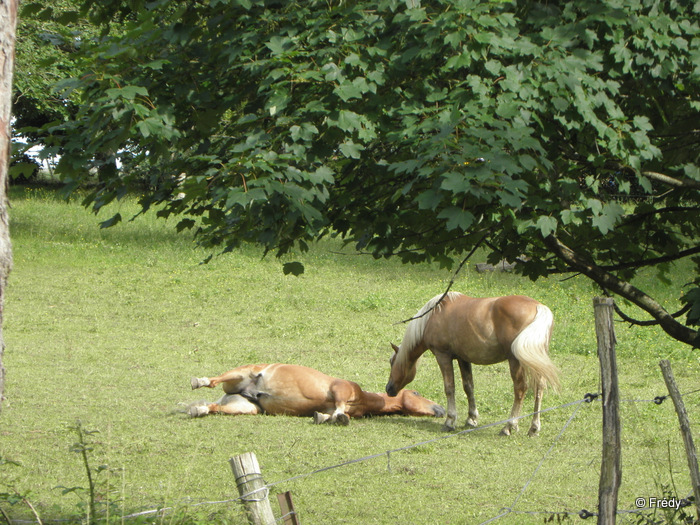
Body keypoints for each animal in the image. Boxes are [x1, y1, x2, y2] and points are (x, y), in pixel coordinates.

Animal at [386, 290, 560, 434]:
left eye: (391, 361)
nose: (388, 389)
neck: (434, 315)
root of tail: (539, 307)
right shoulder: (463, 358)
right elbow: (468, 387)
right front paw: (471, 419)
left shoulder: (443, 356)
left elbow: (450, 388)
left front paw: (450, 421)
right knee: (539, 388)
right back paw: (533, 428)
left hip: (515, 361)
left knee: (520, 389)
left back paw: (508, 427)